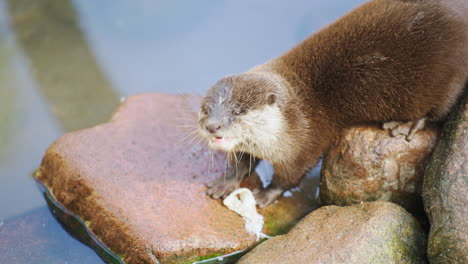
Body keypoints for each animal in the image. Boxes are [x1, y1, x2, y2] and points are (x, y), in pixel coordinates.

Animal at [196, 0, 466, 207]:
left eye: (237, 111)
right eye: (206, 110)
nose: (212, 126)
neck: (296, 111)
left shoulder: (305, 144)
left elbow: (289, 177)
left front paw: (264, 195)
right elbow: (242, 160)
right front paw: (227, 181)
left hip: (449, 74)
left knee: (439, 109)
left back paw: (406, 124)